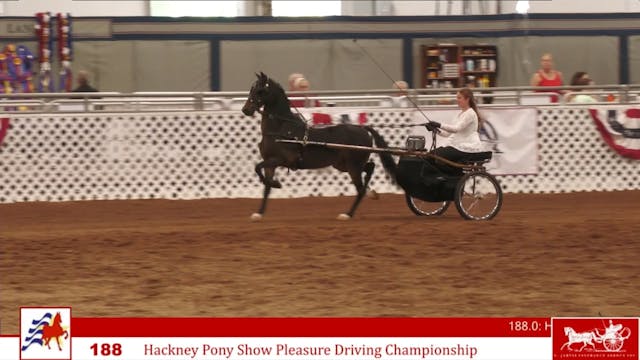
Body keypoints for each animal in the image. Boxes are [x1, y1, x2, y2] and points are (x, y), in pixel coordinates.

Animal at [241, 72, 396, 219]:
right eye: (251, 89)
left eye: (260, 90)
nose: (245, 110)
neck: (282, 129)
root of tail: (363, 129)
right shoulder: (270, 163)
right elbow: (265, 185)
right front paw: (259, 213)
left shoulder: (283, 160)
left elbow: (258, 169)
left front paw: (277, 184)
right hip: (344, 165)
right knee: (370, 168)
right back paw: (371, 193)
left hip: (353, 165)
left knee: (360, 189)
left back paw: (348, 214)